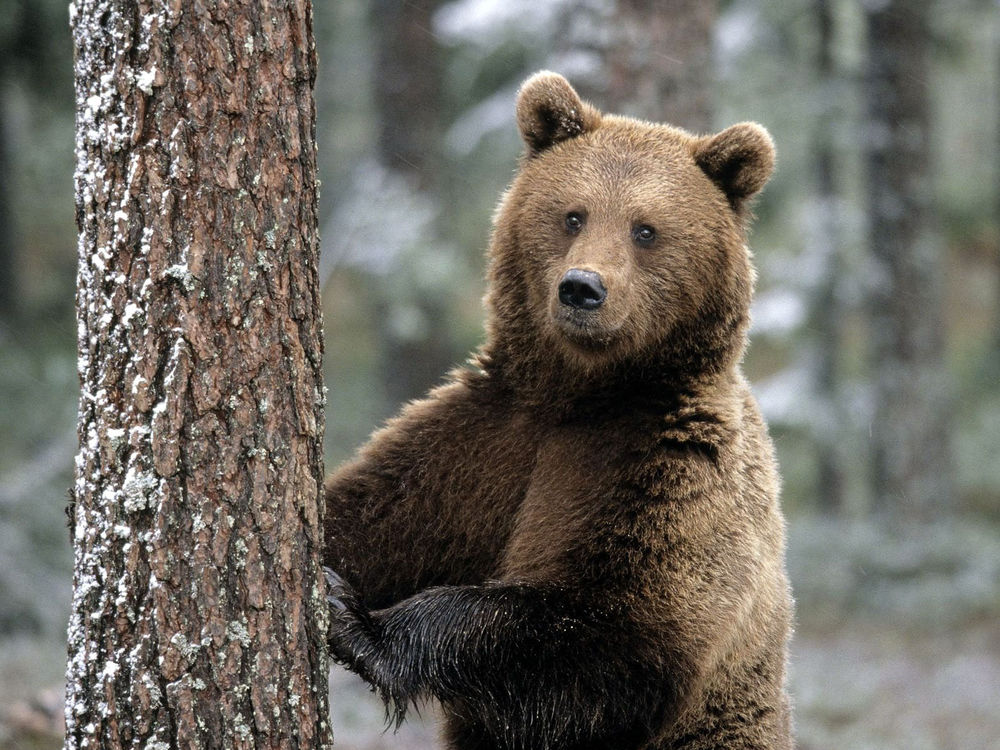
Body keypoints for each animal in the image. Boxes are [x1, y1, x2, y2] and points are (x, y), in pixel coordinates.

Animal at [324, 72, 792, 750]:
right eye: (573, 214)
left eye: (645, 229)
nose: (582, 288)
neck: (584, 393)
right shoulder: (484, 441)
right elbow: (372, 514)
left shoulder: (666, 468)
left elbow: (608, 634)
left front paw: (360, 624)